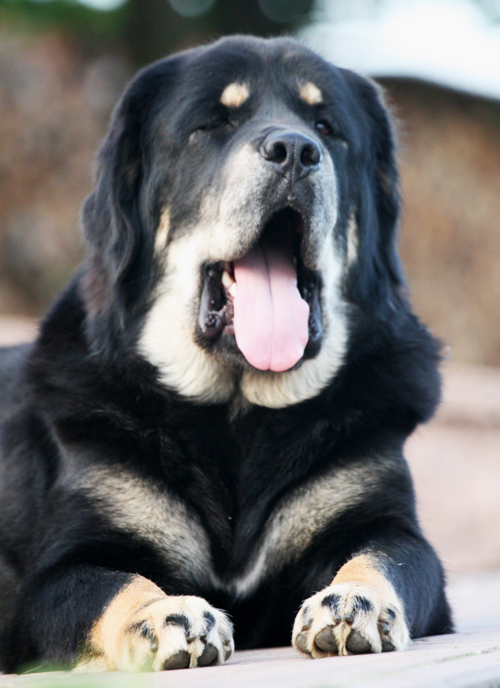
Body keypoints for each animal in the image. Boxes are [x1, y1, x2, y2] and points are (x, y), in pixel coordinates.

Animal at [0, 33, 454, 672]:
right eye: (214, 123)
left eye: (327, 127)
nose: (296, 150)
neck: (238, 418)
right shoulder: (59, 572)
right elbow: (114, 585)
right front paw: (166, 615)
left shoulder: (387, 525)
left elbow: (386, 560)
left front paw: (355, 602)